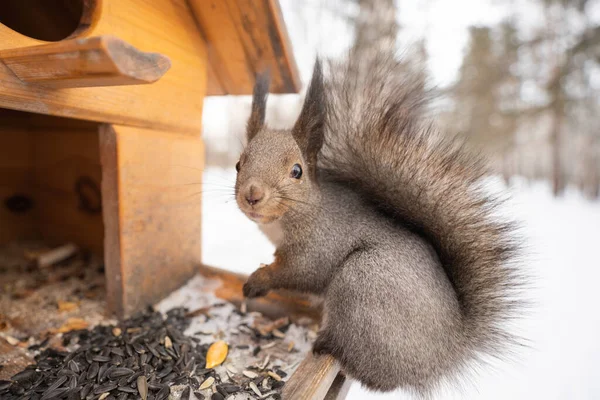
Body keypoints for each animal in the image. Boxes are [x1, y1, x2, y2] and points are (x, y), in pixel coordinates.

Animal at [233, 54, 520, 396]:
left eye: (297, 171)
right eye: (238, 164)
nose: (252, 195)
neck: (298, 215)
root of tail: (446, 351)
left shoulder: (320, 245)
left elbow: (299, 272)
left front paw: (257, 280)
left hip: (364, 281)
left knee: (376, 376)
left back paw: (331, 347)